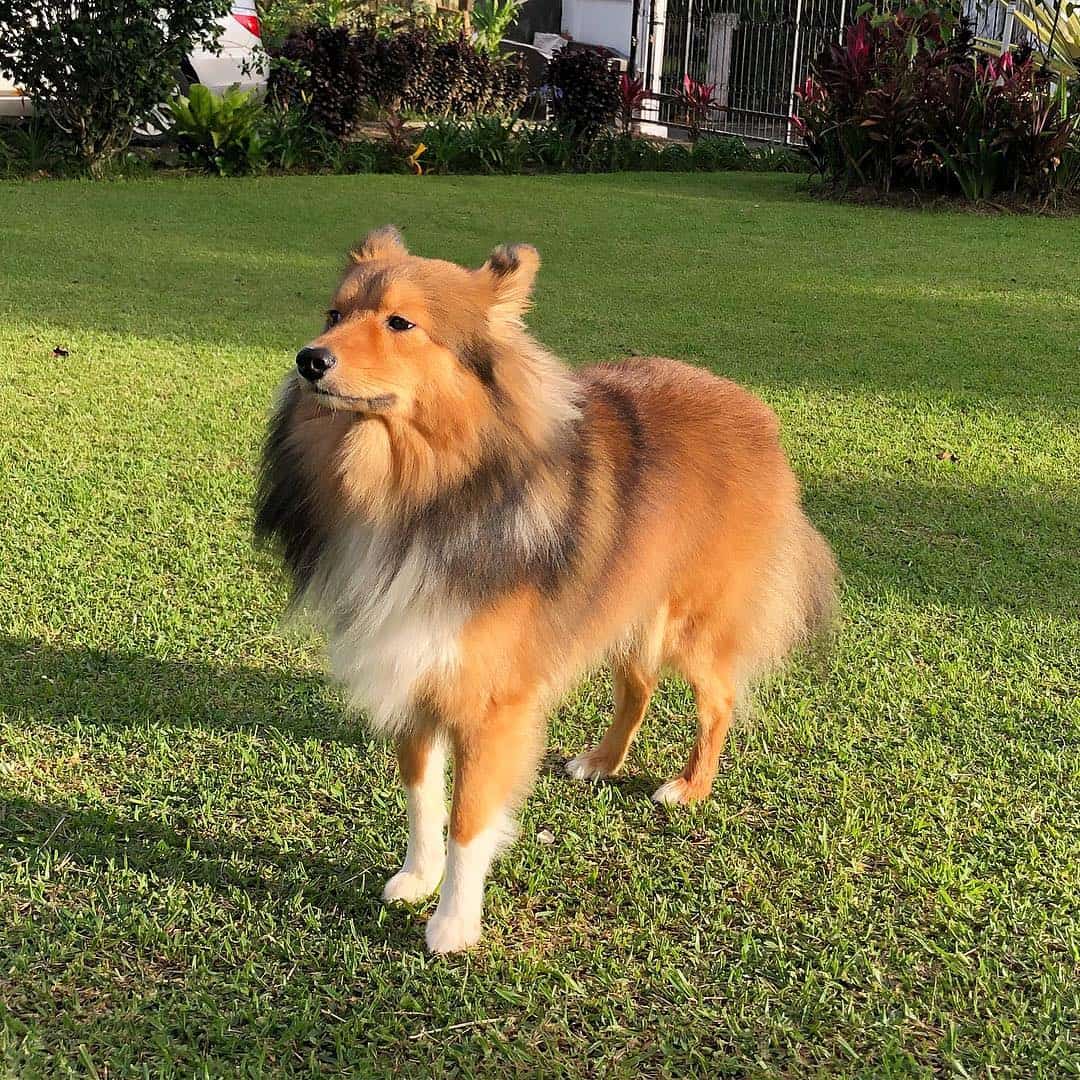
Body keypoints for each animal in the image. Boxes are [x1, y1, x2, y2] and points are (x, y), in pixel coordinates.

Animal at [257, 223, 838, 950]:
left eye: (399, 323)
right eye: (333, 314)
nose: (309, 360)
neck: (416, 486)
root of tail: (754, 409)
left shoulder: (491, 704)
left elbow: (469, 819)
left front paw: (453, 922)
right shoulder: (414, 665)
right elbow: (422, 796)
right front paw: (417, 878)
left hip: (692, 625)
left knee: (720, 702)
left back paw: (689, 786)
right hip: (630, 604)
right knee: (638, 688)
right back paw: (602, 762)